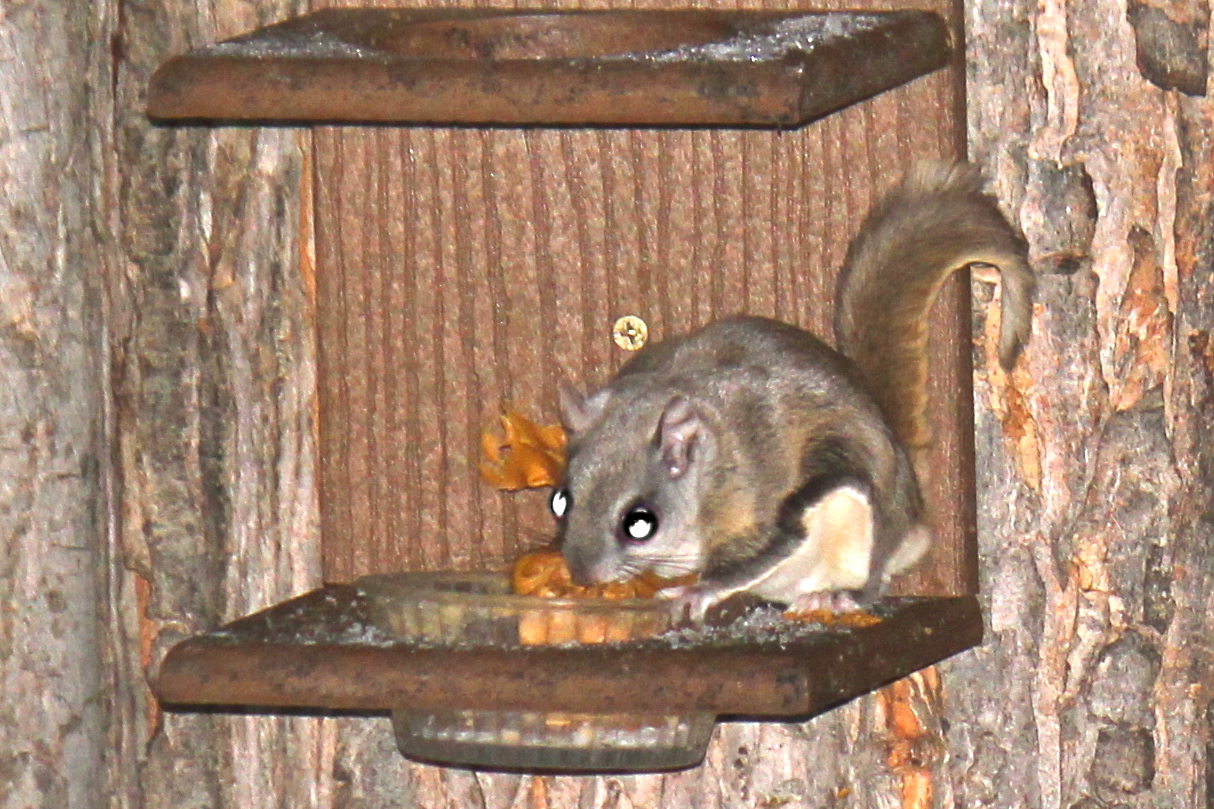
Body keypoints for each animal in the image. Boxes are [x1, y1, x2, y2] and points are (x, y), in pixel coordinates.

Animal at [549, 162, 1035, 621]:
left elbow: (759, 551)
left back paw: (837, 596)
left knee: (873, 577)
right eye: (560, 500)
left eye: (639, 523)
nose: (582, 575)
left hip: (856, 500)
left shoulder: (753, 497)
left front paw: (695, 591)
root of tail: (911, 505)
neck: (709, 467)